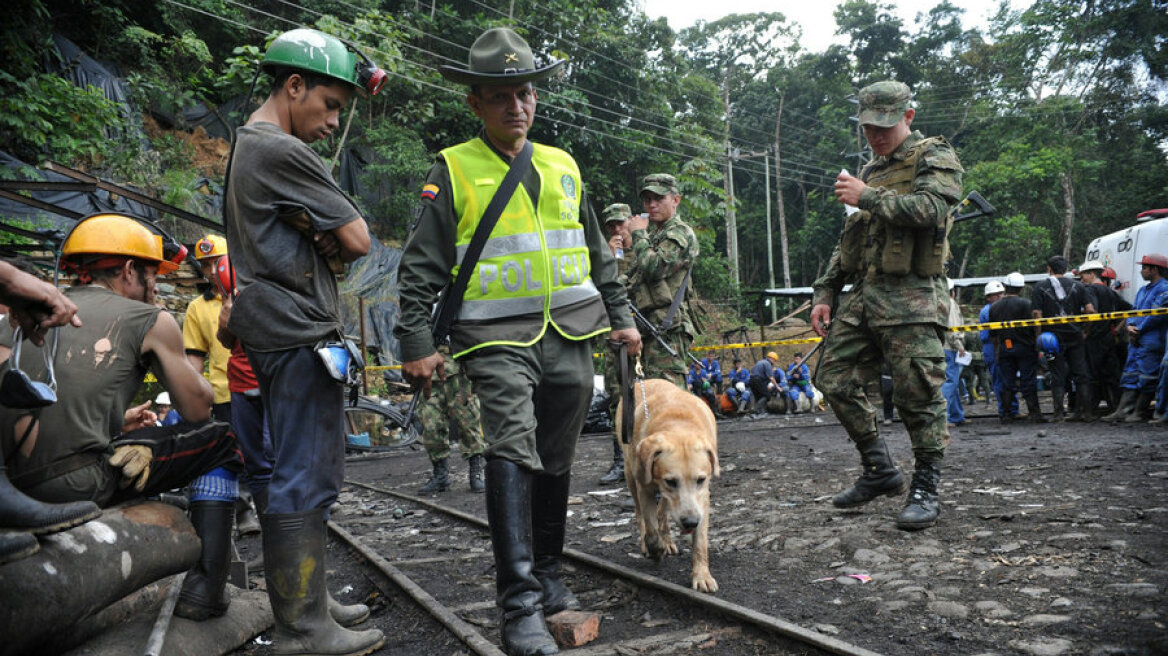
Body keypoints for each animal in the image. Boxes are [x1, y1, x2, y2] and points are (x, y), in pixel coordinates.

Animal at [616, 375, 714, 590]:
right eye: (670, 481)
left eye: (700, 480)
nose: (690, 522)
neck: (678, 424)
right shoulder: (645, 487)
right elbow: (651, 528)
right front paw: (656, 549)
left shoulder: (703, 495)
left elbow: (700, 540)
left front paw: (702, 575)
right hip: (629, 473)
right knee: (640, 515)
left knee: (663, 512)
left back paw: (667, 538)